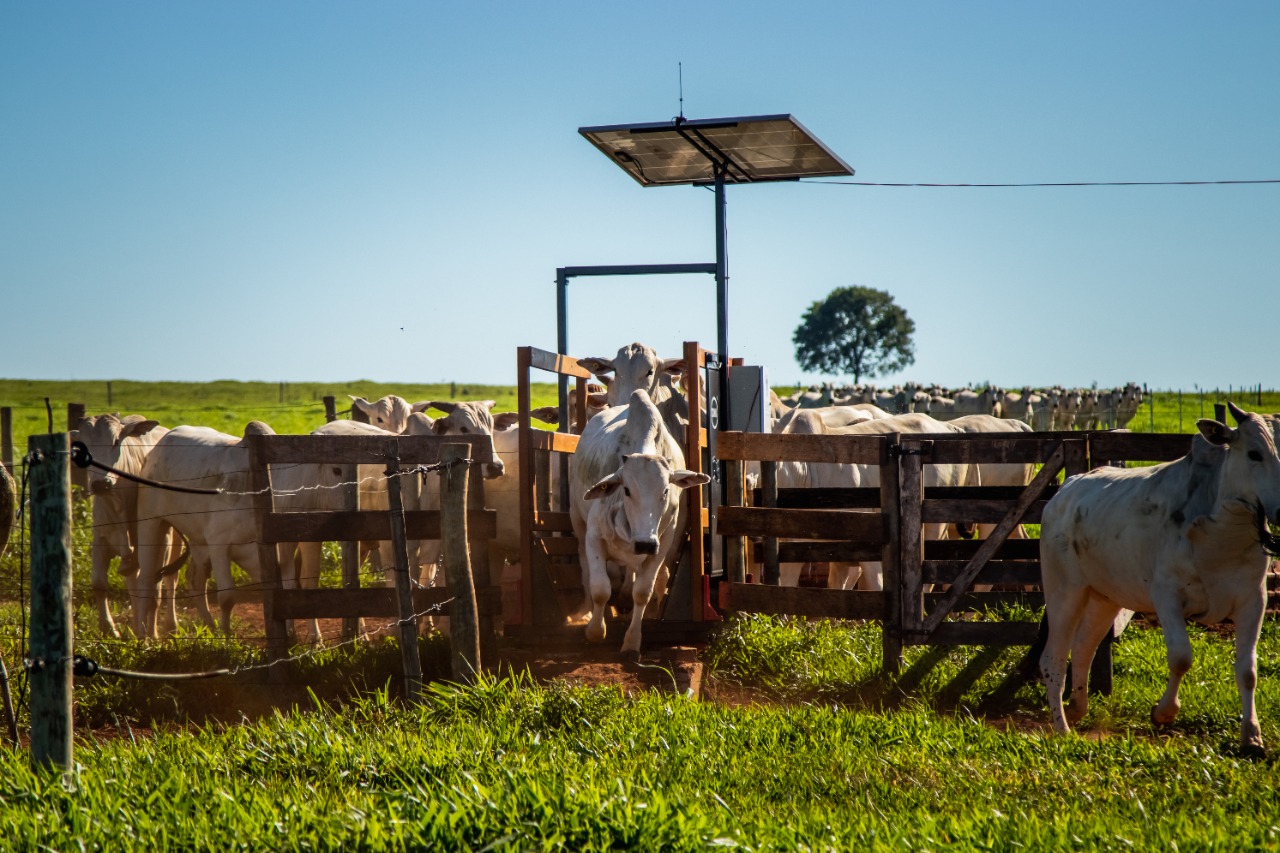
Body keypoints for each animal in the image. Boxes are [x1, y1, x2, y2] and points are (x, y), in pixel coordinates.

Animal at [570, 389, 711, 653]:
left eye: (666, 490)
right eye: (626, 489)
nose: (645, 543)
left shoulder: (662, 543)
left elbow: (643, 592)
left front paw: (632, 641)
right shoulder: (594, 535)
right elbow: (600, 589)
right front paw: (595, 631)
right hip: (577, 520)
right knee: (586, 568)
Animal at [1039, 402, 1280, 747]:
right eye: (1254, 454)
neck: (1220, 535)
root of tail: (1064, 491)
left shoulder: (1253, 600)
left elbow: (1248, 671)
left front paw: (1252, 736)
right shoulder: (1167, 596)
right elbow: (1181, 657)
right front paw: (1163, 712)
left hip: (1105, 597)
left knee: (1084, 647)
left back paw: (1077, 707)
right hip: (1064, 593)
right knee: (1053, 659)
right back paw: (1062, 727)